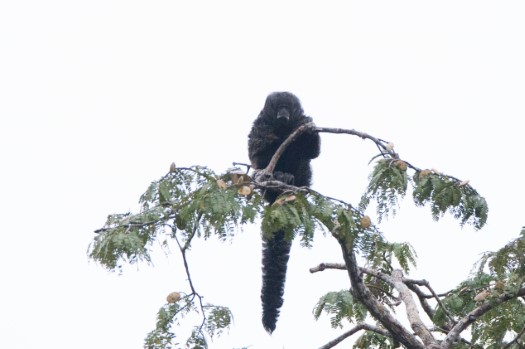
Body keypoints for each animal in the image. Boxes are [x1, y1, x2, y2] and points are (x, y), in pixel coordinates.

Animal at [249, 92, 320, 332]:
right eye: (278, 108)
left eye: (287, 108)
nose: (282, 114)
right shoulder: (259, 125)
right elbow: (256, 148)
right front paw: (274, 140)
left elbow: (313, 151)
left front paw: (306, 129)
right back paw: (276, 177)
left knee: (302, 161)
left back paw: (290, 180)